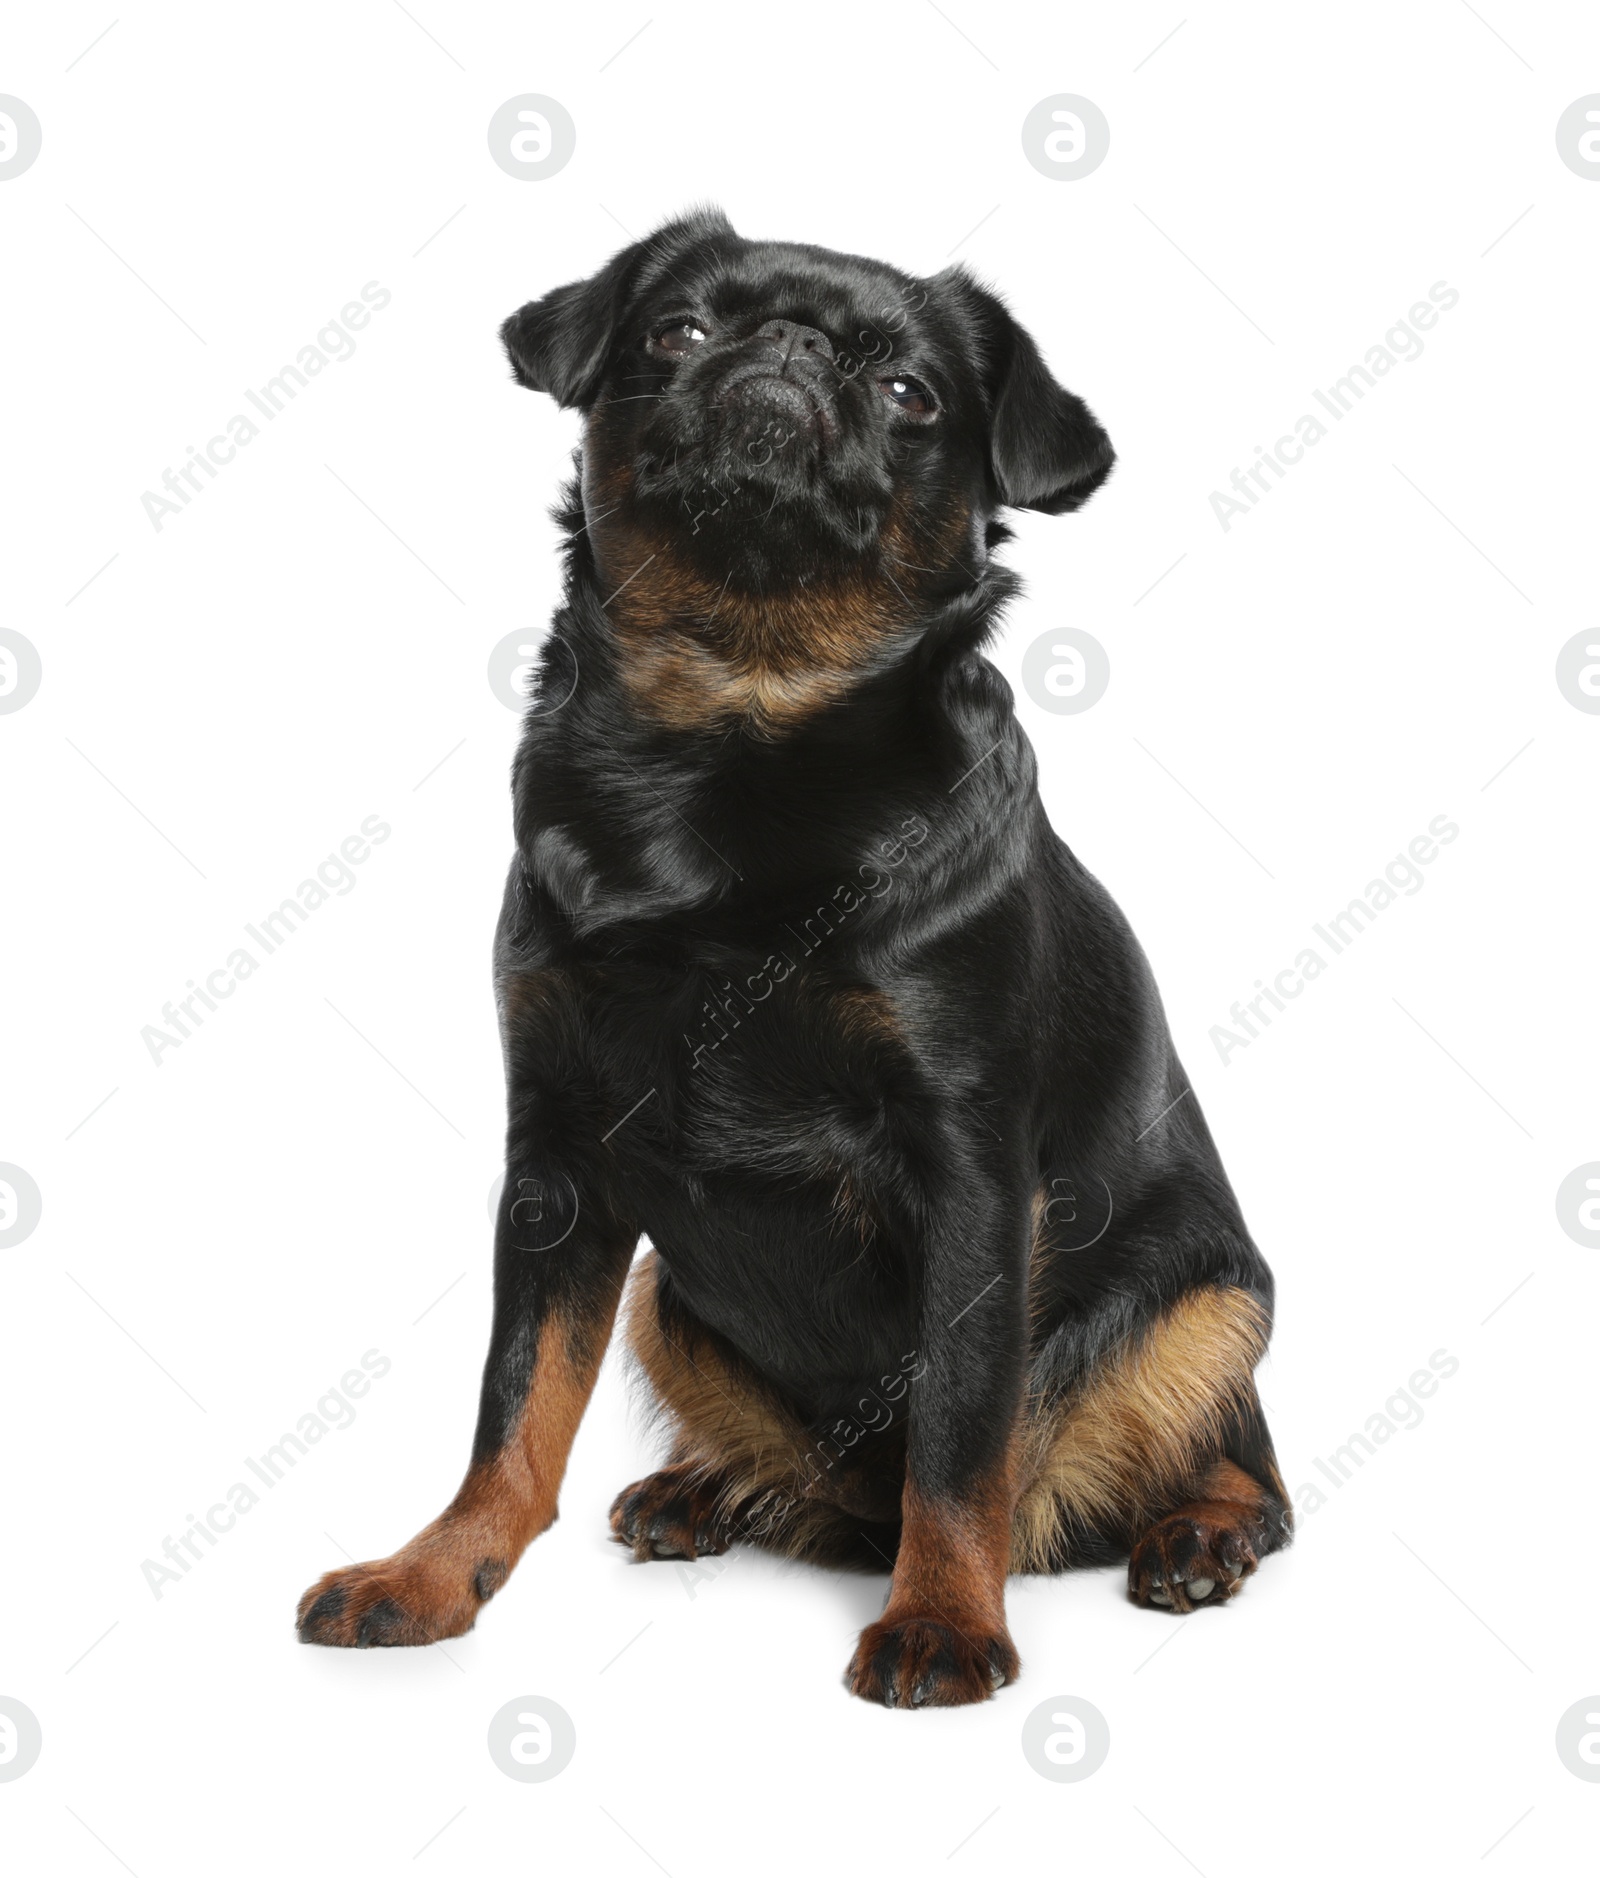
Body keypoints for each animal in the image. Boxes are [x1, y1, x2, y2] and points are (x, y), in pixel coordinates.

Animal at [300, 213, 1292, 1712]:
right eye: (680, 331)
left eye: (910, 392)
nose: (791, 348)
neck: (737, 718)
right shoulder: (557, 1162)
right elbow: (515, 1399)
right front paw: (436, 1571)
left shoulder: (971, 1172)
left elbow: (959, 1427)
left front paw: (943, 1619)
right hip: (665, 1296)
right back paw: (709, 1489)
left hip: (1217, 1297)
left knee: (1234, 1470)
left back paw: (1193, 1537)